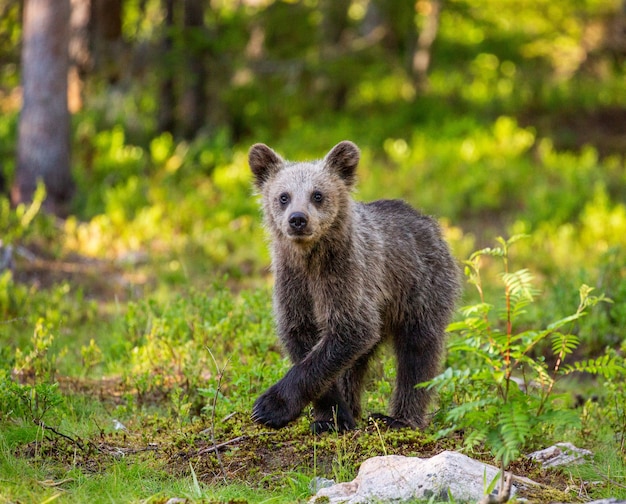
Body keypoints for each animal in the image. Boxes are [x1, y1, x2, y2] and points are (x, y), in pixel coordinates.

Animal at [247, 141, 458, 434]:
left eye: (317, 195)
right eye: (284, 196)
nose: (298, 219)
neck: (311, 259)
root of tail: (427, 220)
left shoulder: (346, 277)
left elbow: (350, 331)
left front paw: (270, 406)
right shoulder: (293, 284)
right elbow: (304, 337)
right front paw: (332, 416)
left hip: (420, 287)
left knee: (417, 351)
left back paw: (400, 418)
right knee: (357, 362)